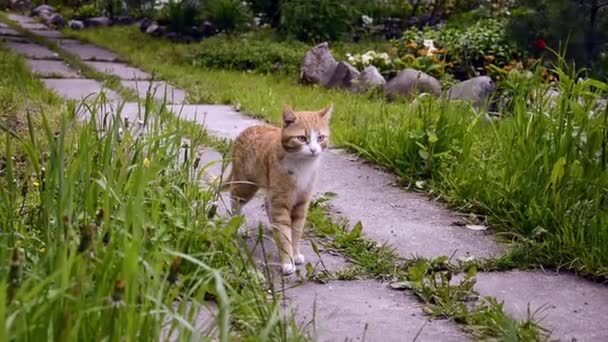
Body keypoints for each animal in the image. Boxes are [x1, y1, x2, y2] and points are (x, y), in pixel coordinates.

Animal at [224, 103, 332, 276]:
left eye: (320, 138)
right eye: (302, 138)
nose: (314, 150)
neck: (302, 166)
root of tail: (246, 131)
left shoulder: (301, 204)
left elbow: (296, 233)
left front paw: (295, 254)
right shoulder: (281, 204)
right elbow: (285, 235)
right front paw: (287, 261)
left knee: (266, 202)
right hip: (246, 185)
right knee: (235, 199)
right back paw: (238, 224)